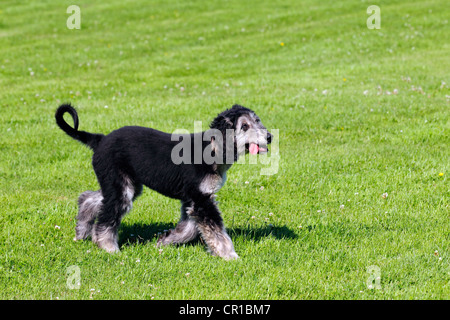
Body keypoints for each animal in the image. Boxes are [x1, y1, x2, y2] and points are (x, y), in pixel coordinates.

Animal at [56, 104, 274, 258]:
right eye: (244, 126)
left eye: (257, 120)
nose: (270, 137)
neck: (213, 149)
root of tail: (100, 140)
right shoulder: (201, 200)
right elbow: (216, 232)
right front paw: (230, 255)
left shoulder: (192, 200)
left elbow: (187, 229)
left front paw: (164, 242)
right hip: (121, 187)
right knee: (107, 218)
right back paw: (108, 247)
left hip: (124, 184)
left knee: (90, 199)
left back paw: (82, 230)